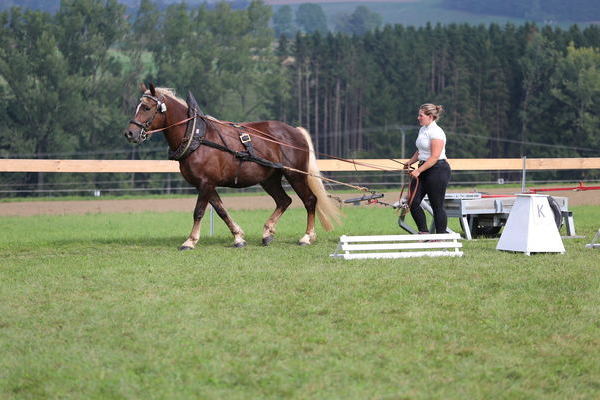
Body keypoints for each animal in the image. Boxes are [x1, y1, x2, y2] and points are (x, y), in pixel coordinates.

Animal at [124, 83, 340, 250]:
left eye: (146, 108)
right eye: (137, 106)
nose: (130, 134)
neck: (197, 137)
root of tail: (295, 131)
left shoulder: (206, 183)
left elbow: (199, 211)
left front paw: (190, 241)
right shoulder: (206, 184)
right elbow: (221, 211)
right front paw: (238, 238)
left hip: (295, 175)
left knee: (310, 201)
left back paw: (307, 237)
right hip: (269, 179)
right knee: (284, 200)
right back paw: (267, 233)